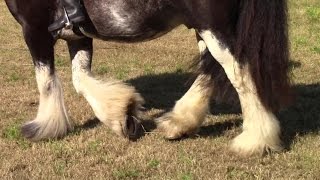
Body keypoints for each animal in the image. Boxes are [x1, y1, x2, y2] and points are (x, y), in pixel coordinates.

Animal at [3, 0, 292, 155]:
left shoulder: (34, 29)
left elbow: (46, 81)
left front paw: (45, 127)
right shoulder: (77, 34)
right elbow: (80, 79)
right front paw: (123, 115)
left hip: (214, 27)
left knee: (238, 73)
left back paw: (255, 141)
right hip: (204, 28)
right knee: (211, 70)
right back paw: (179, 123)